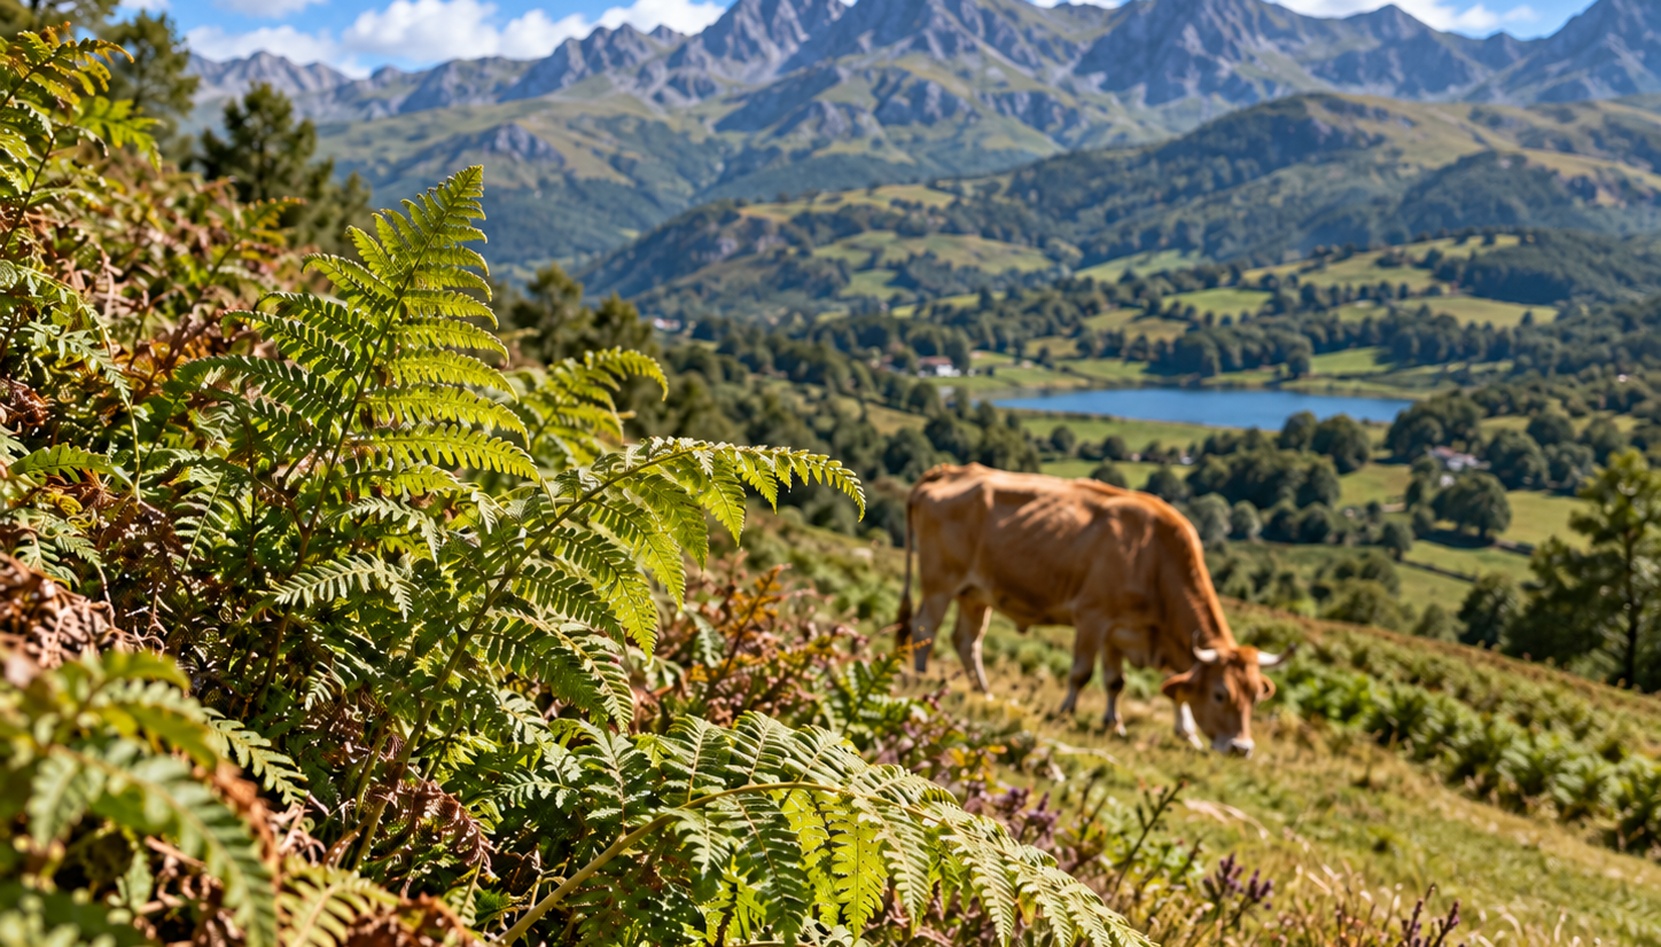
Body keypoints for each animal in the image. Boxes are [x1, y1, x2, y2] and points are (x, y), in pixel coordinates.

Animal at [894, 464, 1289, 756]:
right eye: (1221, 695)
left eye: (1255, 697)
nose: (1241, 747)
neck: (1154, 558)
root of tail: (948, 471)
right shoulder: (1092, 618)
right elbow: (1081, 673)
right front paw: (1066, 712)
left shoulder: (1121, 631)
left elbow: (1118, 682)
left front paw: (1123, 724)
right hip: (940, 581)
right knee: (925, 628)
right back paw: (921, 678)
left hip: (976, 594)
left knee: (966, 641)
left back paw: (984, 691)